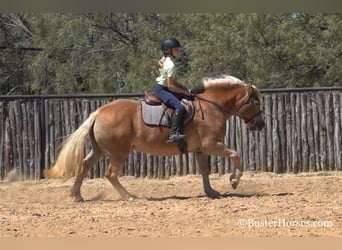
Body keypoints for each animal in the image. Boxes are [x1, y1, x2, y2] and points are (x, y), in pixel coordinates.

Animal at [44, 75, 266, 202]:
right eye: (255, 102)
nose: (261, 125)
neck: (212, 106)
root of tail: (98, 112)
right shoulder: (211, 145)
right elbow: (236, 155)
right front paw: (234, 181)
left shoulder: (200, 149)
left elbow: (205, 171)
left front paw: (211, 192)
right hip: (119, 152)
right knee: (110, 174)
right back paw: (129, 196)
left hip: (99, 150)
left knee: (84, 165)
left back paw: (77, 195)